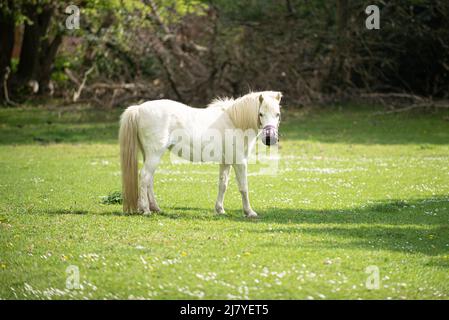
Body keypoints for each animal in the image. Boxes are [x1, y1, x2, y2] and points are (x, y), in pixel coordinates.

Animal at [118, 90, 280, 218]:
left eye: (277, 114)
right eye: (260, 114)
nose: (270, 139)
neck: (234, 121)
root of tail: (138, 109)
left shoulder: (226, 162)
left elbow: (223, 185)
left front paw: (220, 209)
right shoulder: (240, 162)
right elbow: (243, 187)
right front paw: (249, 212)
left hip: (150, 155)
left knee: (149, 180)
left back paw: (155, 208)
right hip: (154, 155)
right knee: (145, 177)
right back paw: (145, 210)